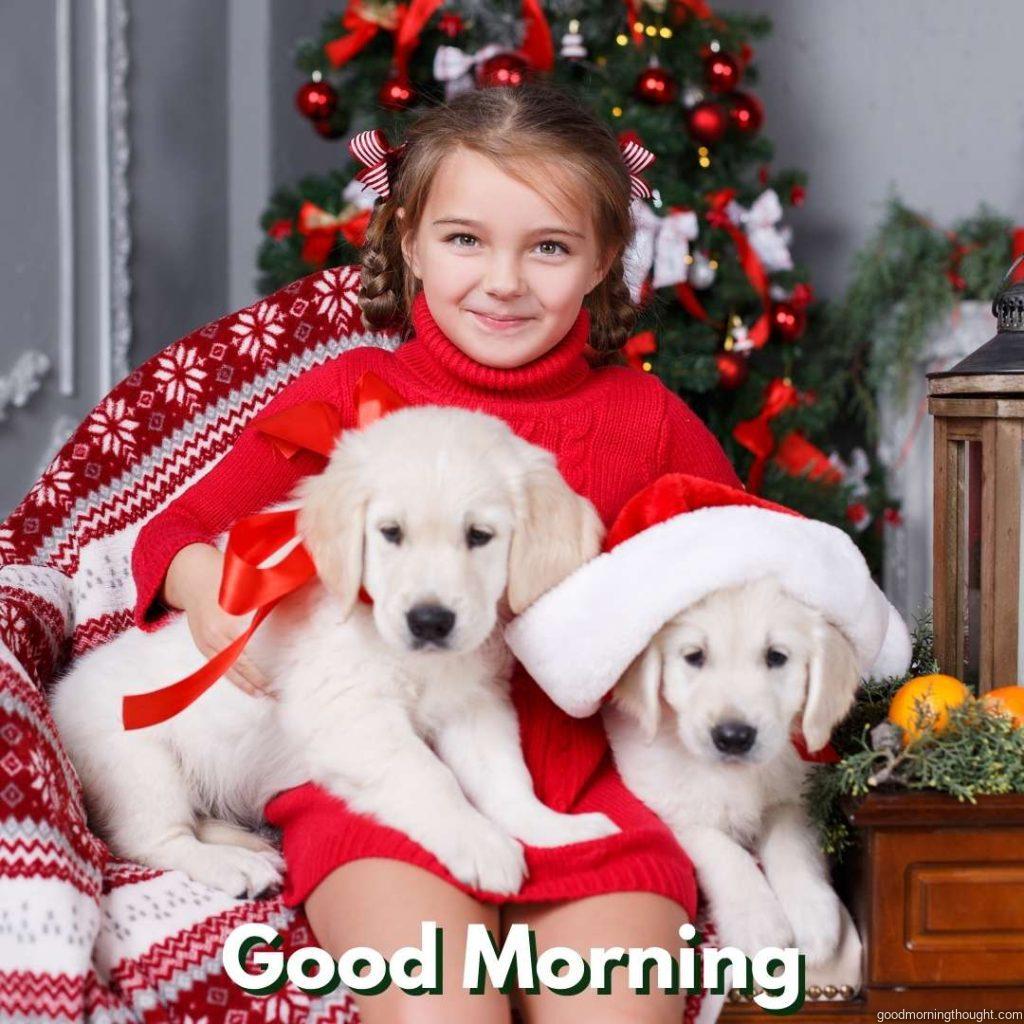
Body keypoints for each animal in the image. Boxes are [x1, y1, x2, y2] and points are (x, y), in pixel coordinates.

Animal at [51, 403, 618, 901]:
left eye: (480, 535)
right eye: (391, 533)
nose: (430, 621)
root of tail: (59, 697)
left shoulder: (472, 704)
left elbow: (505, 777)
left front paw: (550, 828)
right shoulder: (354, 718)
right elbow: (430, 778)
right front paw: (480, 843)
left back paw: (245, 843)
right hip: (138, 763)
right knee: (153, 839)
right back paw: (233, 863)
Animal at [606, 577, 864, 966]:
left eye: (776, 657)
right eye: (694, 656)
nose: (733, 737)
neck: (736, 775)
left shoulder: (795, 794)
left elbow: (791, 843)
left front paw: (811, 911)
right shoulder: (668, 806)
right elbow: (723, 851)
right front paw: (755, 919)